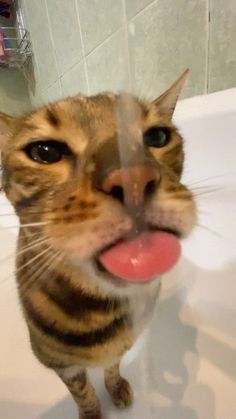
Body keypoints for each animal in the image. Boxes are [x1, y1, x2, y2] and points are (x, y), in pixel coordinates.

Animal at [0, 70, 196, 418]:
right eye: (45, 152)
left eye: (157, 137)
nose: (133, 179)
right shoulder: (62, 366)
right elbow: (82, 393)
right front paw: (92, 412)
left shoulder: (123, 343)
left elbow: (113, 367)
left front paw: (116, 386)